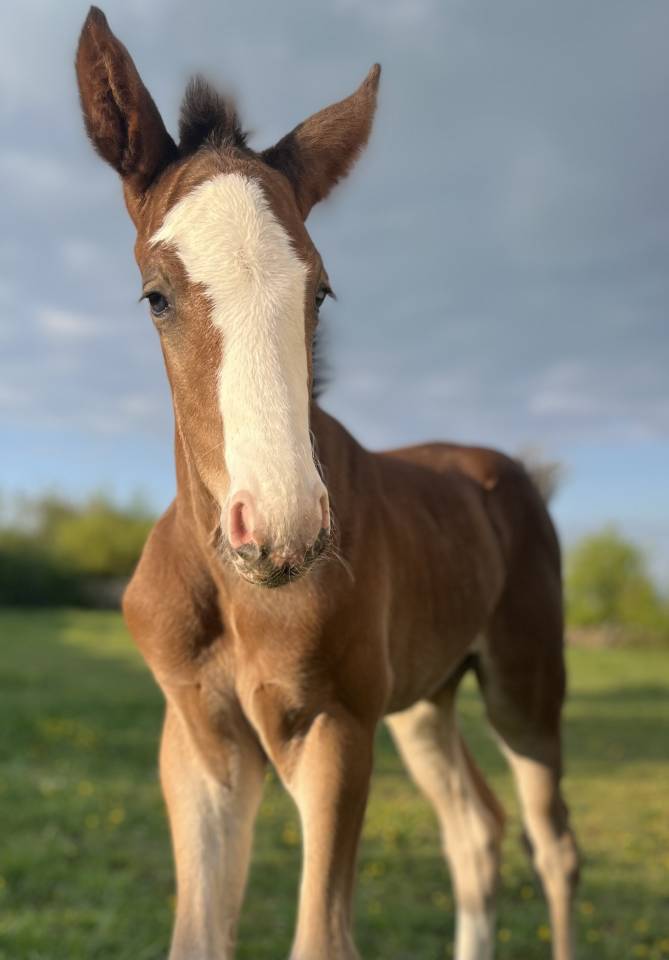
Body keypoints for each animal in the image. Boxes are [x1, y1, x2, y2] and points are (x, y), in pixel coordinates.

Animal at [75, 8, 579, 959]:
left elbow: (322, 937)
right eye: (155, 295)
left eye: (319, 292)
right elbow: (198, 937)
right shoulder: (197, 735)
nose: (281, 529)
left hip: (524, 685)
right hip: (423, 703)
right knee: (476, 833)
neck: (236, 593)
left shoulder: (335, 727)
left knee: (551, 843)